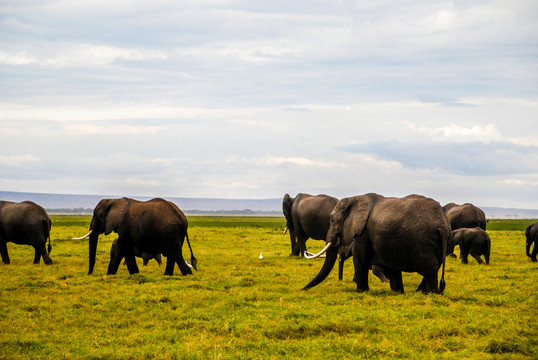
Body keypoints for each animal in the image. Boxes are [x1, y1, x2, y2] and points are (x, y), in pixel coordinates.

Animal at [302, 194, 448, 292]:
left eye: (332, 220)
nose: (301, 289)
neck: (355, 198)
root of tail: (441, 224)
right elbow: (392, 266)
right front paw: (397, 292)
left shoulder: (363, 232)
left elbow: (360, 259)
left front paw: (361, 292)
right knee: (435, 266)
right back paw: (421, 292)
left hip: (423, 240)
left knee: (430, 267)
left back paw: (430, 294)